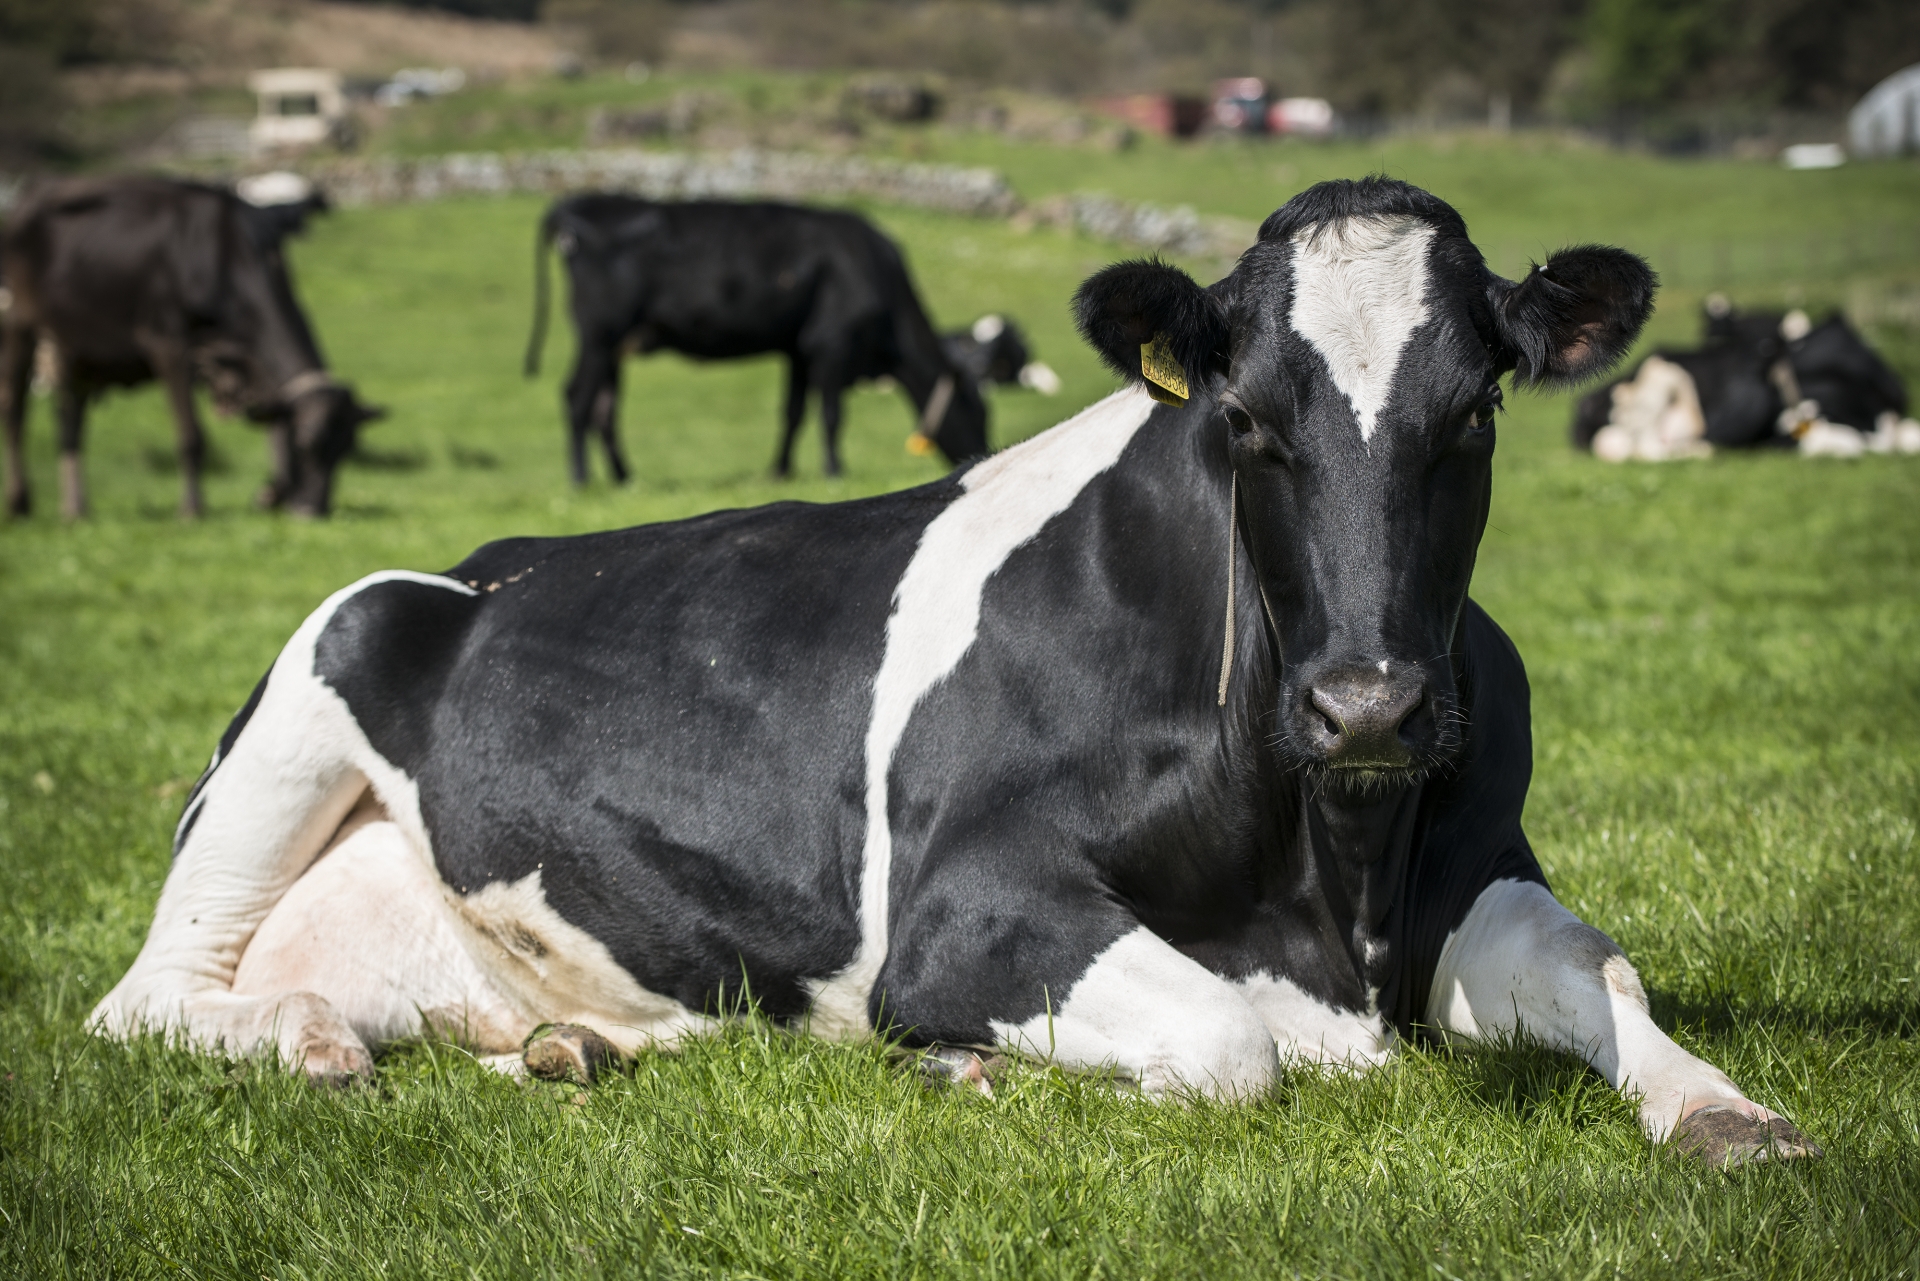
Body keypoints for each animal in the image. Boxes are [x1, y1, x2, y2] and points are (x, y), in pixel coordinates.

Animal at [0, 176, 382, 520]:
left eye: (345, 450)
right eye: (306, 443)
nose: (312, 510)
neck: (225, 255)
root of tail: (25, 200)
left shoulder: (251, 366)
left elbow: (273, 422)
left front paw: (272, 493)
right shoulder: (168, 343)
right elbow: (192, 436)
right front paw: (192, 508)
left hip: (77, 349)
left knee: (70, 423)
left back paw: (76, 508)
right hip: (20, 327)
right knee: (16, 413)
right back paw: (20, 503)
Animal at [523, 196, 989, 484]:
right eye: (979, 412)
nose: (983, 451)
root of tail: (574, 206)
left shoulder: (799, 348)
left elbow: (794, 413)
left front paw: (780, 472)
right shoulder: (832, 342)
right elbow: (832, 415)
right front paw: (834, 470)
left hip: (615, 346)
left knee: (604, 408)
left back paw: (625, 478)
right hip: (599, 334)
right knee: (578, 398)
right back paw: (581, 480)